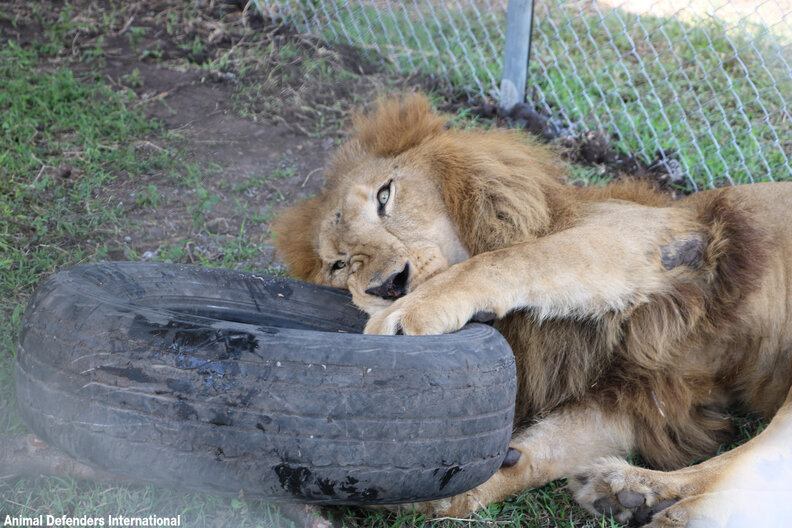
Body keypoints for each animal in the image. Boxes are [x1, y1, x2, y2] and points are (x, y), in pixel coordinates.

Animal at [272, 95, 792, 527]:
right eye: (339, 265)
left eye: (385, 197)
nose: (387, 284)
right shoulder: (632, 394)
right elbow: (541, 449)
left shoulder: (659, 236)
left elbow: (521, 258)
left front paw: (410, 312)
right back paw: (627, 495)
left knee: (746, 462)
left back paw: (649, 498)